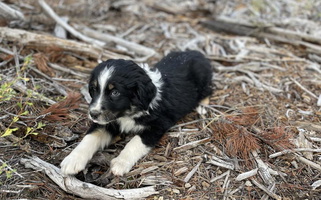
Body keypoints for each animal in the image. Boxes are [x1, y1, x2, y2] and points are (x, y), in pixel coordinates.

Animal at [61, 50, 212, 177]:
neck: (128, 113)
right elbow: (90, 137)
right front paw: (72, 160)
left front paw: (120, 163)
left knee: (208, 91)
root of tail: (197, 53)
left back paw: (202, 107)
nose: (93, 114)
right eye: (93, 89)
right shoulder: (107, 121)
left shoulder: (157, 125)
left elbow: (135, 142)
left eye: (115, 93)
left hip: (204, 81)